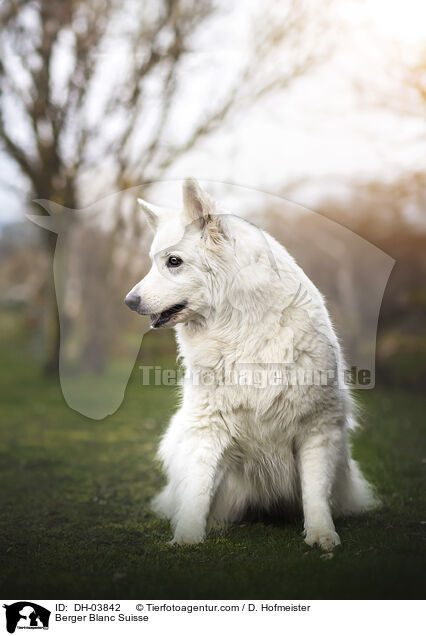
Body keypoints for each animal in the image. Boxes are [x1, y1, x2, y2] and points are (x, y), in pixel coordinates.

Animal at [125, 180, 376, 552]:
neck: (241, 329)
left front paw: (321, 534)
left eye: (174, 261)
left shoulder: (318, 426)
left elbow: (315, 492)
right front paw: (187, 537)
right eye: (155, 263)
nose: (129, 301)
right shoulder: (207, 425)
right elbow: (197, 489)